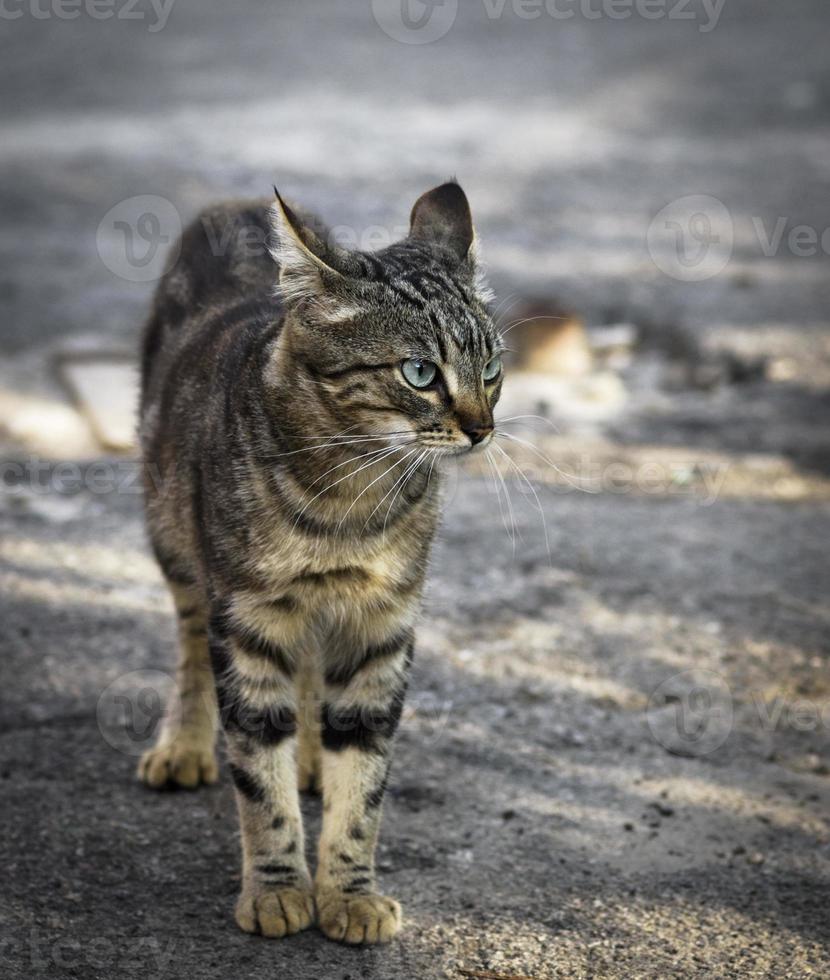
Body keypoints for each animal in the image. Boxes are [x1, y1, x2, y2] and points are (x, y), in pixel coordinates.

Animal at [137, 182, 508, 940]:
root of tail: (239, 200)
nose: (482, 430)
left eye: (491, 370)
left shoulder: (382, 624)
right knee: (190, 642)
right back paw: (185, 744)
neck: (349, 504)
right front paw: (278, 889)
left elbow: (363, 781)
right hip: (178, 545)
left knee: (309, 668)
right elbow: (259, 776)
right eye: (420, 373)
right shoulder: (248, 619)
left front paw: (350, 893)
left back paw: (310, 753)